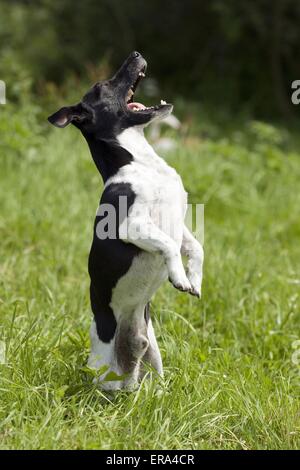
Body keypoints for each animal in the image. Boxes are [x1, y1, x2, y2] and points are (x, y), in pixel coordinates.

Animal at [48, 50, 204, 390]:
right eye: (102, 85)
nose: (135, 53)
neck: (139, 162)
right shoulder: (129, 225)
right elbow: (168, 246)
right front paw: (179, 277)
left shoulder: (180, 224)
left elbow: (196, 248)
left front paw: (195, 279)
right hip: (104, 369)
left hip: (153, 354)